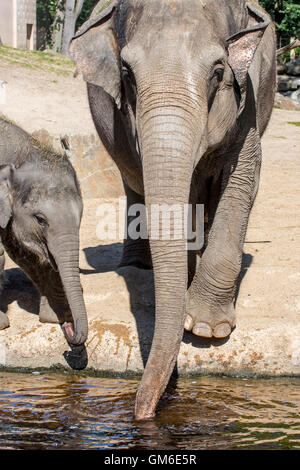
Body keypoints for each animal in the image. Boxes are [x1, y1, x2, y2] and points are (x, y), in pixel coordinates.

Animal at [0, 115, 88, 346]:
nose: (69, 329)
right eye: (40, 220)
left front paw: (57, 316)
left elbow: (24, 253)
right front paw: (2, 324)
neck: (23, 154)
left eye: (80, 218)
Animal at [70, 0, 276, 418]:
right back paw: (139, 265)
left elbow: (243, 177)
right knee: (133, 184)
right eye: (127, 73)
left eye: (218, 71)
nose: (143, 414)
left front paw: (205, 329)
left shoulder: (247, 101)